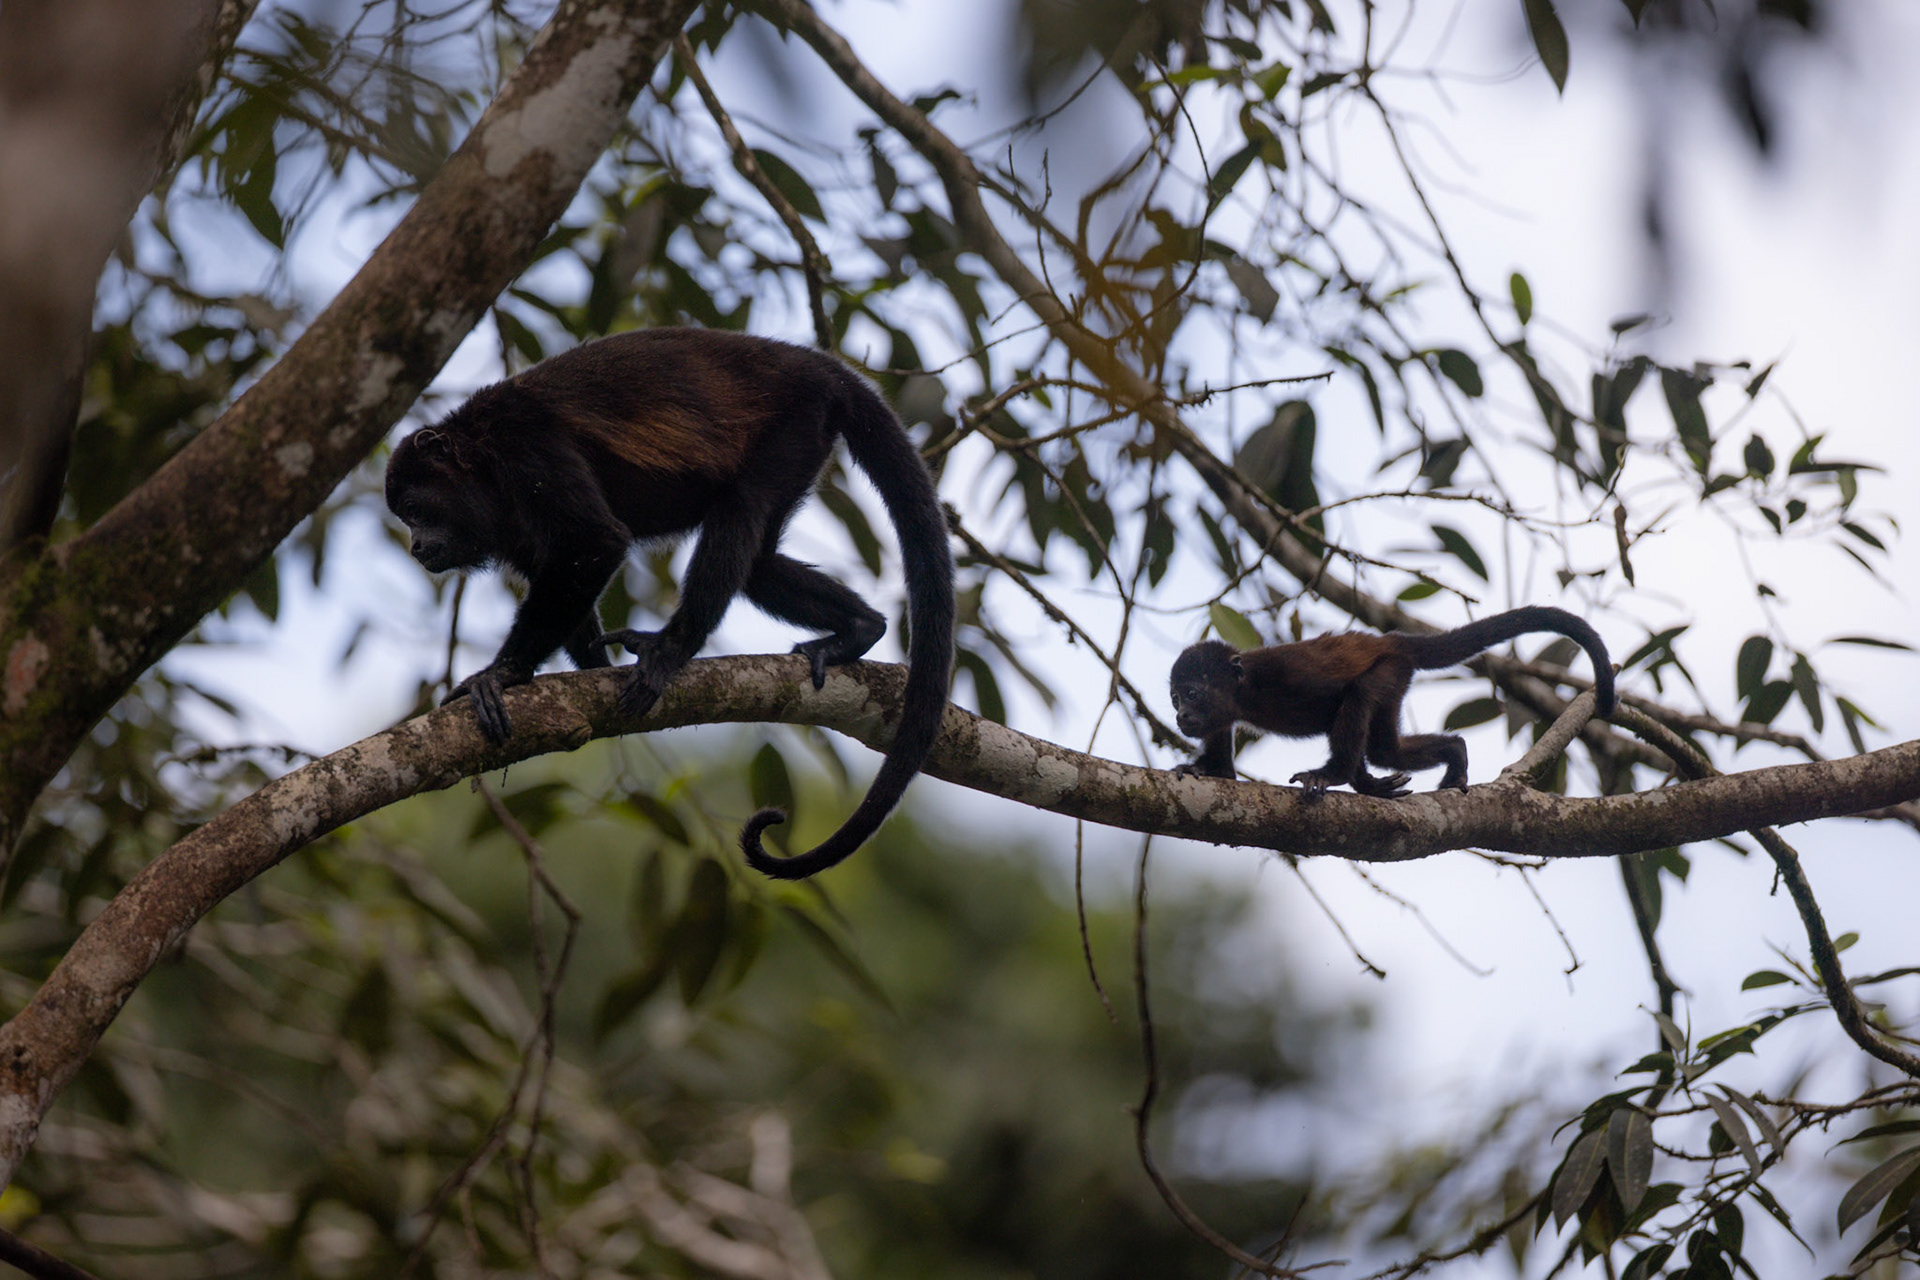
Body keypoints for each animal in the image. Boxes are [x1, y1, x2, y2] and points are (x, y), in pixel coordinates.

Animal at [384, 328, 955, 879]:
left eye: (415, 508)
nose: (415, 547)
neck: (481, 459)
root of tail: (820, 367)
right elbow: (564, 574)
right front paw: (590, 667)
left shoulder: (527, 449)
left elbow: (596, 542)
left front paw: (501, 675)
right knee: (759, 566)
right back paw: (860, 628)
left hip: (795, 423)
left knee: (740, 508)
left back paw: (673, 647)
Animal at [1167, 606, 1615, 797]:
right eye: (1174, 698)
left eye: (1192, 693)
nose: (1181, 715)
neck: (1244, 689)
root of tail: (1395, 640)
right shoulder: (1221, 717)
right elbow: (1224, 772)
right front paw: (1201, 769)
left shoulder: (1285, 674)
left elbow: (1346, 698)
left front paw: (1337, 775)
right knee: (1387, 749)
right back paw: (1448, 755)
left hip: (1390, 669)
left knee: (1364, 700)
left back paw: (1338, 776)